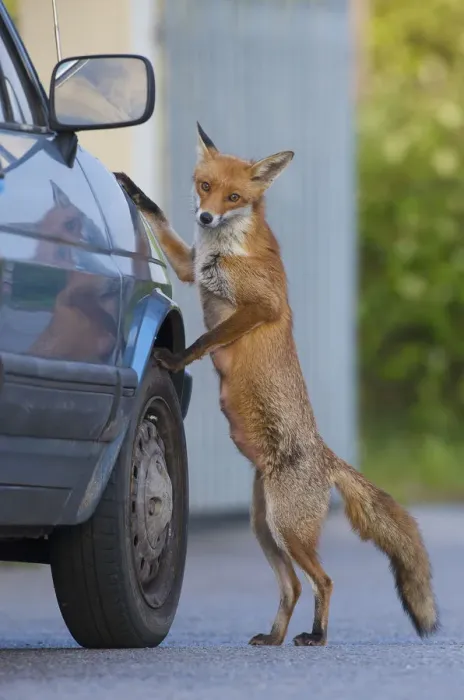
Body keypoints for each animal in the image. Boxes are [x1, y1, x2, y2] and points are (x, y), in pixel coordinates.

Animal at [113, 123, 439, 646]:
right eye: (205, 186)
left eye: (234, 197)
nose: (206, 216)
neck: (224, 248)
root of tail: (326, 454)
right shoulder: (190, 266)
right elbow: (159, 217)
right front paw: (132, 188)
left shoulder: (261, 307)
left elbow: (204, 340)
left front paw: (176, 357)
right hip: (264, 527)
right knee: (293, 586)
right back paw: (275, 637)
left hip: (285, 527)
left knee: (323, 580)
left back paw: (317, 636)